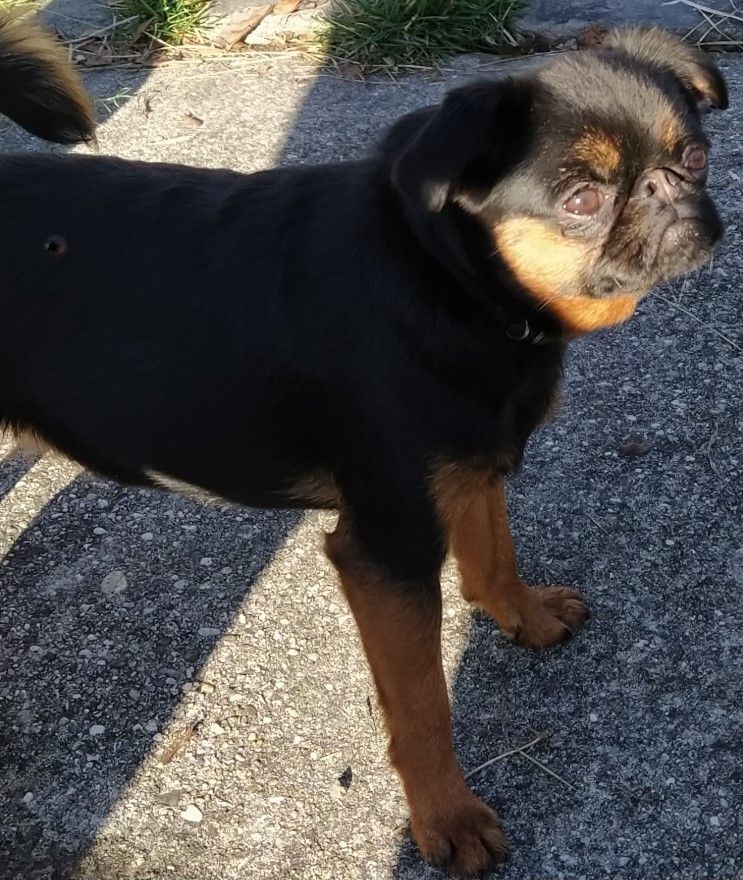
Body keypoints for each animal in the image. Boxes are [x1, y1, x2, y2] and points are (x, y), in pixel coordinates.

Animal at [0, 14, 727, 876]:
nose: (667, 189)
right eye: (582, 198)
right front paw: (444, 816)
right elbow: (422, 707)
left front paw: (521, 613)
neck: (449, 281)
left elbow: (492, 555)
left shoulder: (468, 470)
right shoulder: (388, 551)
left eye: (695, 157)